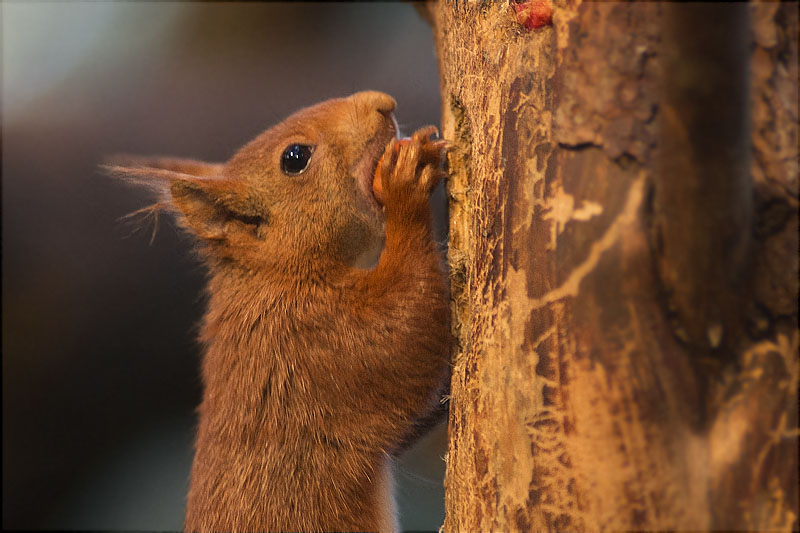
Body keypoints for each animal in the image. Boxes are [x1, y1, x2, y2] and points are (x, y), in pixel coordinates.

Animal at [105, 92, 450, 532]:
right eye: (295, 158)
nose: (382, 103)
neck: (275, 278)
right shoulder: (316, 345)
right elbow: (409, 332)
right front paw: (406, 185)